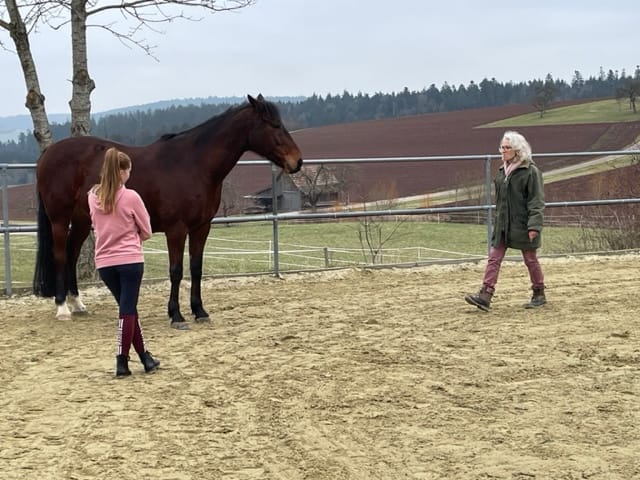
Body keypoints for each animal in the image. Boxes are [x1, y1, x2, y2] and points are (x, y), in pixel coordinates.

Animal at [33, 94, 303, 329]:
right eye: (273, 125)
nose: (297, 162)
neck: (193, 165)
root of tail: (48, 154)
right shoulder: (176, 229)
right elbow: (176, 271)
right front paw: (176, 315)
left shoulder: (201, 227)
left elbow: (196, 268)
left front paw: (199, 311)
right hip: (59, 219)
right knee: (60, 254)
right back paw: (62, 308)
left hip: (81, 220)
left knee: (72, 253)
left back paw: (77, 303)